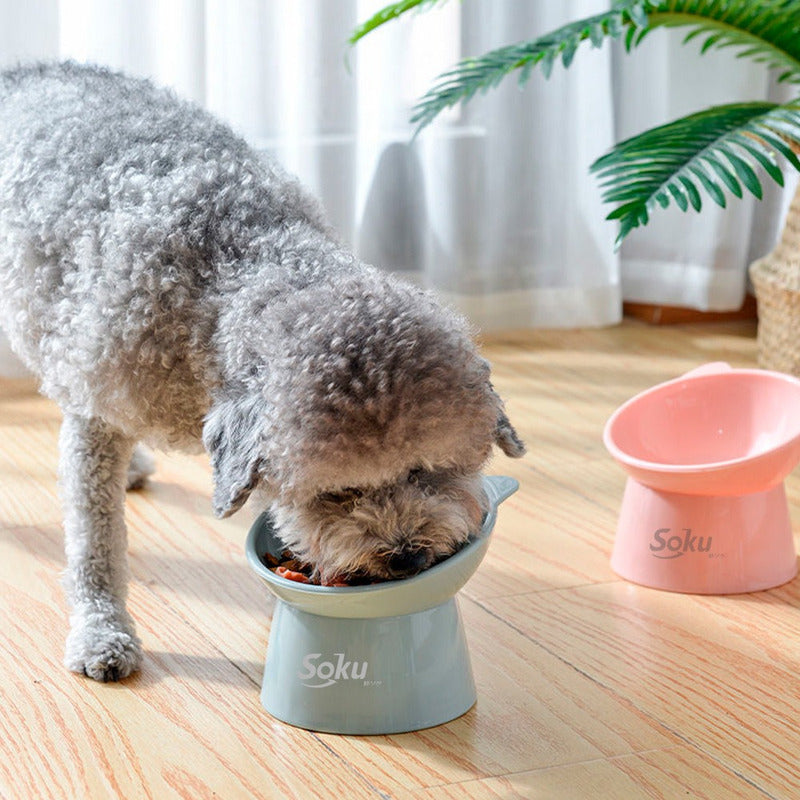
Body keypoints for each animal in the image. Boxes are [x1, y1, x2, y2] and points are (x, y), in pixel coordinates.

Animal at [0, 62, 524, 682]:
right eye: (337, 493)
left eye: (428, 471)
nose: (405, 556)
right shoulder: (94, 417)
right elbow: (95, 546)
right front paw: (102, 633)